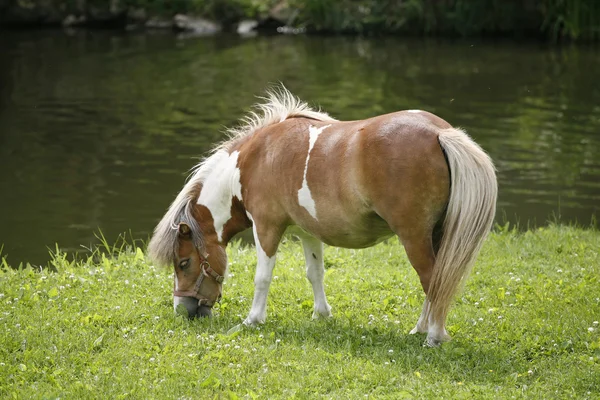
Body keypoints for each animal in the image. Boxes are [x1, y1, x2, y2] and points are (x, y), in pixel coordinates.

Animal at [148, 86, 494, 346]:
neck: (255, 160)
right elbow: (315, 273)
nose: (183, 310)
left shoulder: (267, 228)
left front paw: (253, 320)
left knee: (432, 279)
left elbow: (262, 278)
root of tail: (440, 133)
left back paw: (433, 336)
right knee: (436, 281)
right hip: (434, 234)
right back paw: (420, 329)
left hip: (414, 237)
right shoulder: (306, 232)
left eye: (183, 263)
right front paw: (321, 314)